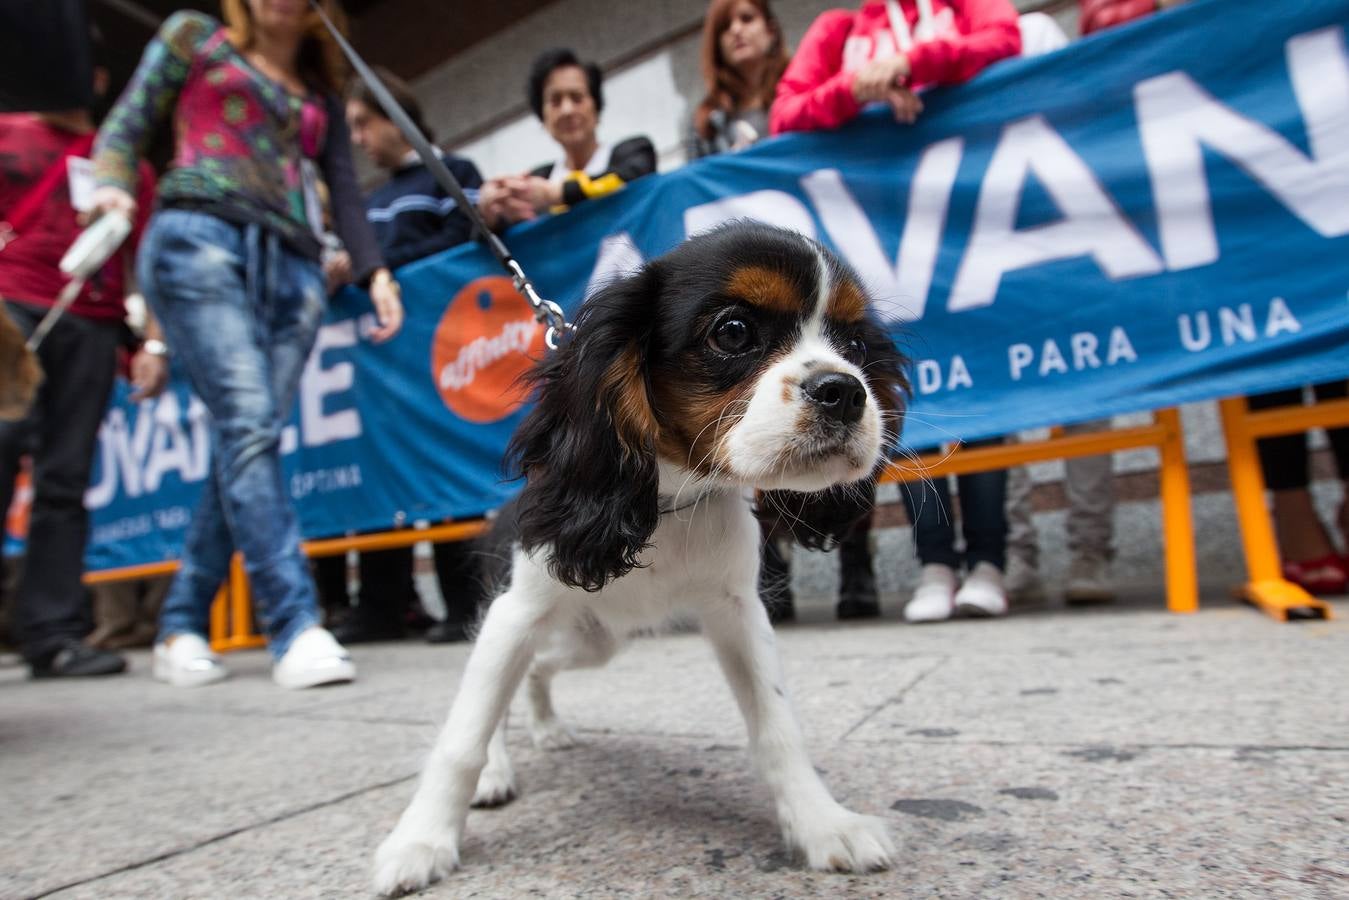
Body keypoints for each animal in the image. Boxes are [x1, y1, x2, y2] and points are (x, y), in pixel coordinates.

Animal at [375, 223, 911, 895]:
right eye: (733, 331)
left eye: (856, 344)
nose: (844, 390)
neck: (670, 500)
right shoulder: (516, 614)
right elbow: (463, 736)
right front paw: (421, 842)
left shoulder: (738, 614)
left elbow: (777, 727)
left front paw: (823, 823)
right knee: (496, 691)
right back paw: (498, 772)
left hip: (595, 641)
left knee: (538, 671)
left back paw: (547, 728)